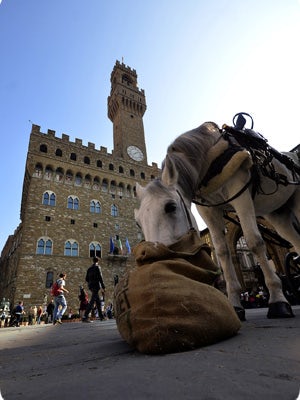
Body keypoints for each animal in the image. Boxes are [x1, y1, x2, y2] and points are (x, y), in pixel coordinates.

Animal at [135, 120, 300, 320]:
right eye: (138, 222)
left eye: (170, 207)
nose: (153, 263)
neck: (209, 159)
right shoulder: (207, 209)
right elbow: (222, 251)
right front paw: (235, 305)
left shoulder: (240, 191)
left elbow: (254, 242)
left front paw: (278, 300)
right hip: (277, 213)